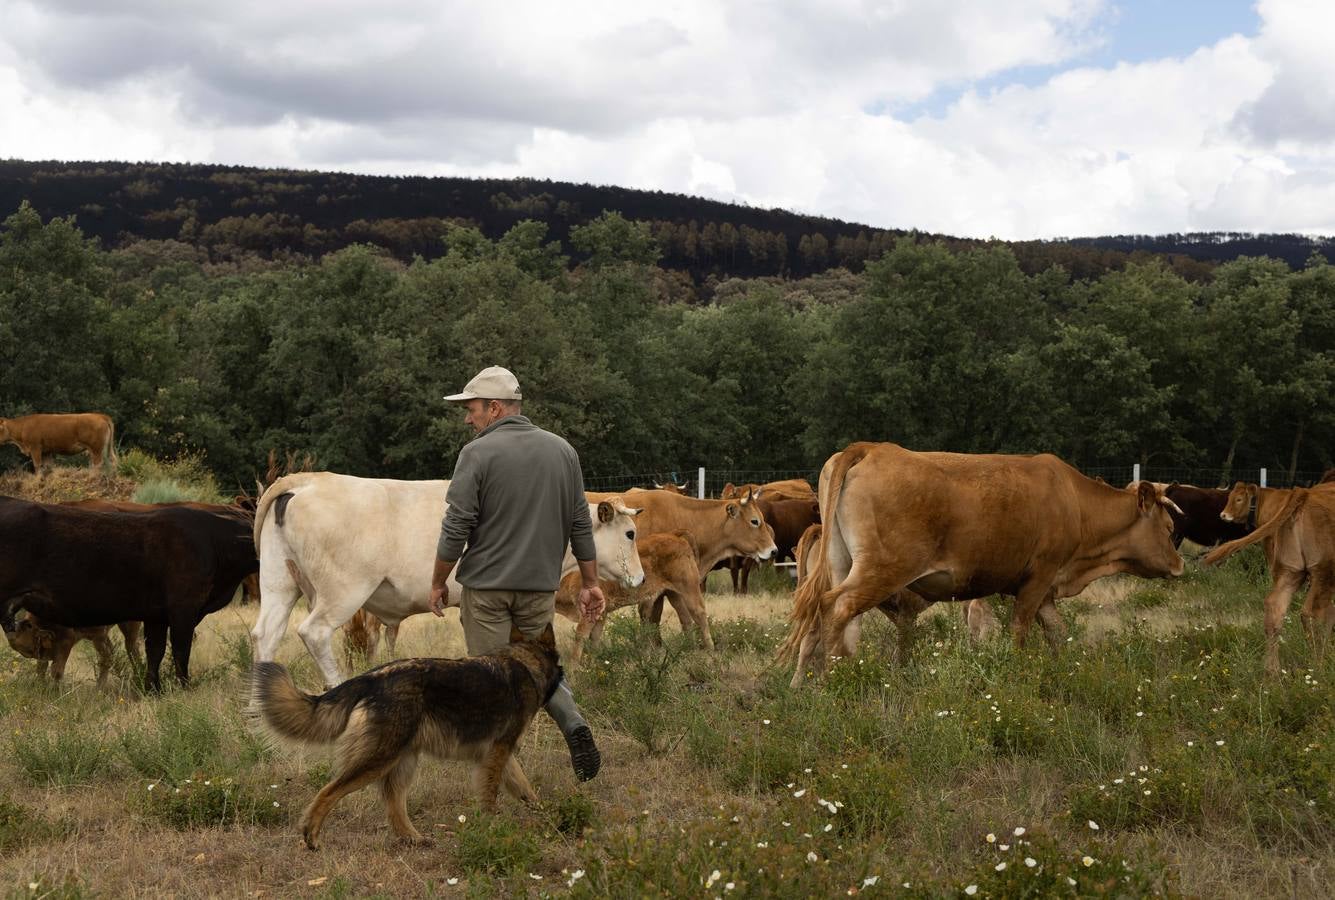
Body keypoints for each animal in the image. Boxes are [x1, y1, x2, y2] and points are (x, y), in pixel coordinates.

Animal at [250, 619, 563, 843]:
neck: (526, 661)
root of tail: (372, 677)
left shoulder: (499, 754)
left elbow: (526, 789)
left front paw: (546, 815)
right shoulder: (499, 752)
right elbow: (493, 793)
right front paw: (492, 824)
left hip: (403, 761)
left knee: (393, 803)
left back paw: (413, 838)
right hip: (378, 759)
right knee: (330, 791)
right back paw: (311, 835)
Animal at [253, 470, 646, 689]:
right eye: (630, 533)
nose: (640, 579)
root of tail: (309, 480)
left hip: (278, 583)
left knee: (265, 636)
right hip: (342, 591)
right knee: (314, 633)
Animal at [555, 528, 710, 662]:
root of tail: (677, 537)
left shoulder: (588, 613)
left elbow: (580, 636)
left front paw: (574, 666)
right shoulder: (601, 614)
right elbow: (594, 639)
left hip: (689, 590)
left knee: (700, 615)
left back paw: (709, 650)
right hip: (674, 595)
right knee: (686, 619)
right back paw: (688, 649)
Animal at [779, 437, 1185, 683]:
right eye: (1168, 527)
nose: (1180, 565)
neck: (1074, 501)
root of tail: (873, 448)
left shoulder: (1045, 590)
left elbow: (1057, 631)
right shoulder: (1037, 578)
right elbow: (1019, 630)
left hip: (839, 565)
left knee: (823, 618)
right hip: (881, 570)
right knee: (838, 608)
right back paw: (835, 678)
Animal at [1201, 480, 1335, 670]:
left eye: (1238, 499)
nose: (1223, 515)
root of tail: (1304, 494)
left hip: (1291, 572)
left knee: (1276, 610)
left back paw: (1272, 671)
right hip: (1324, 572)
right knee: (1313, 614)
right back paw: (1321, 664)